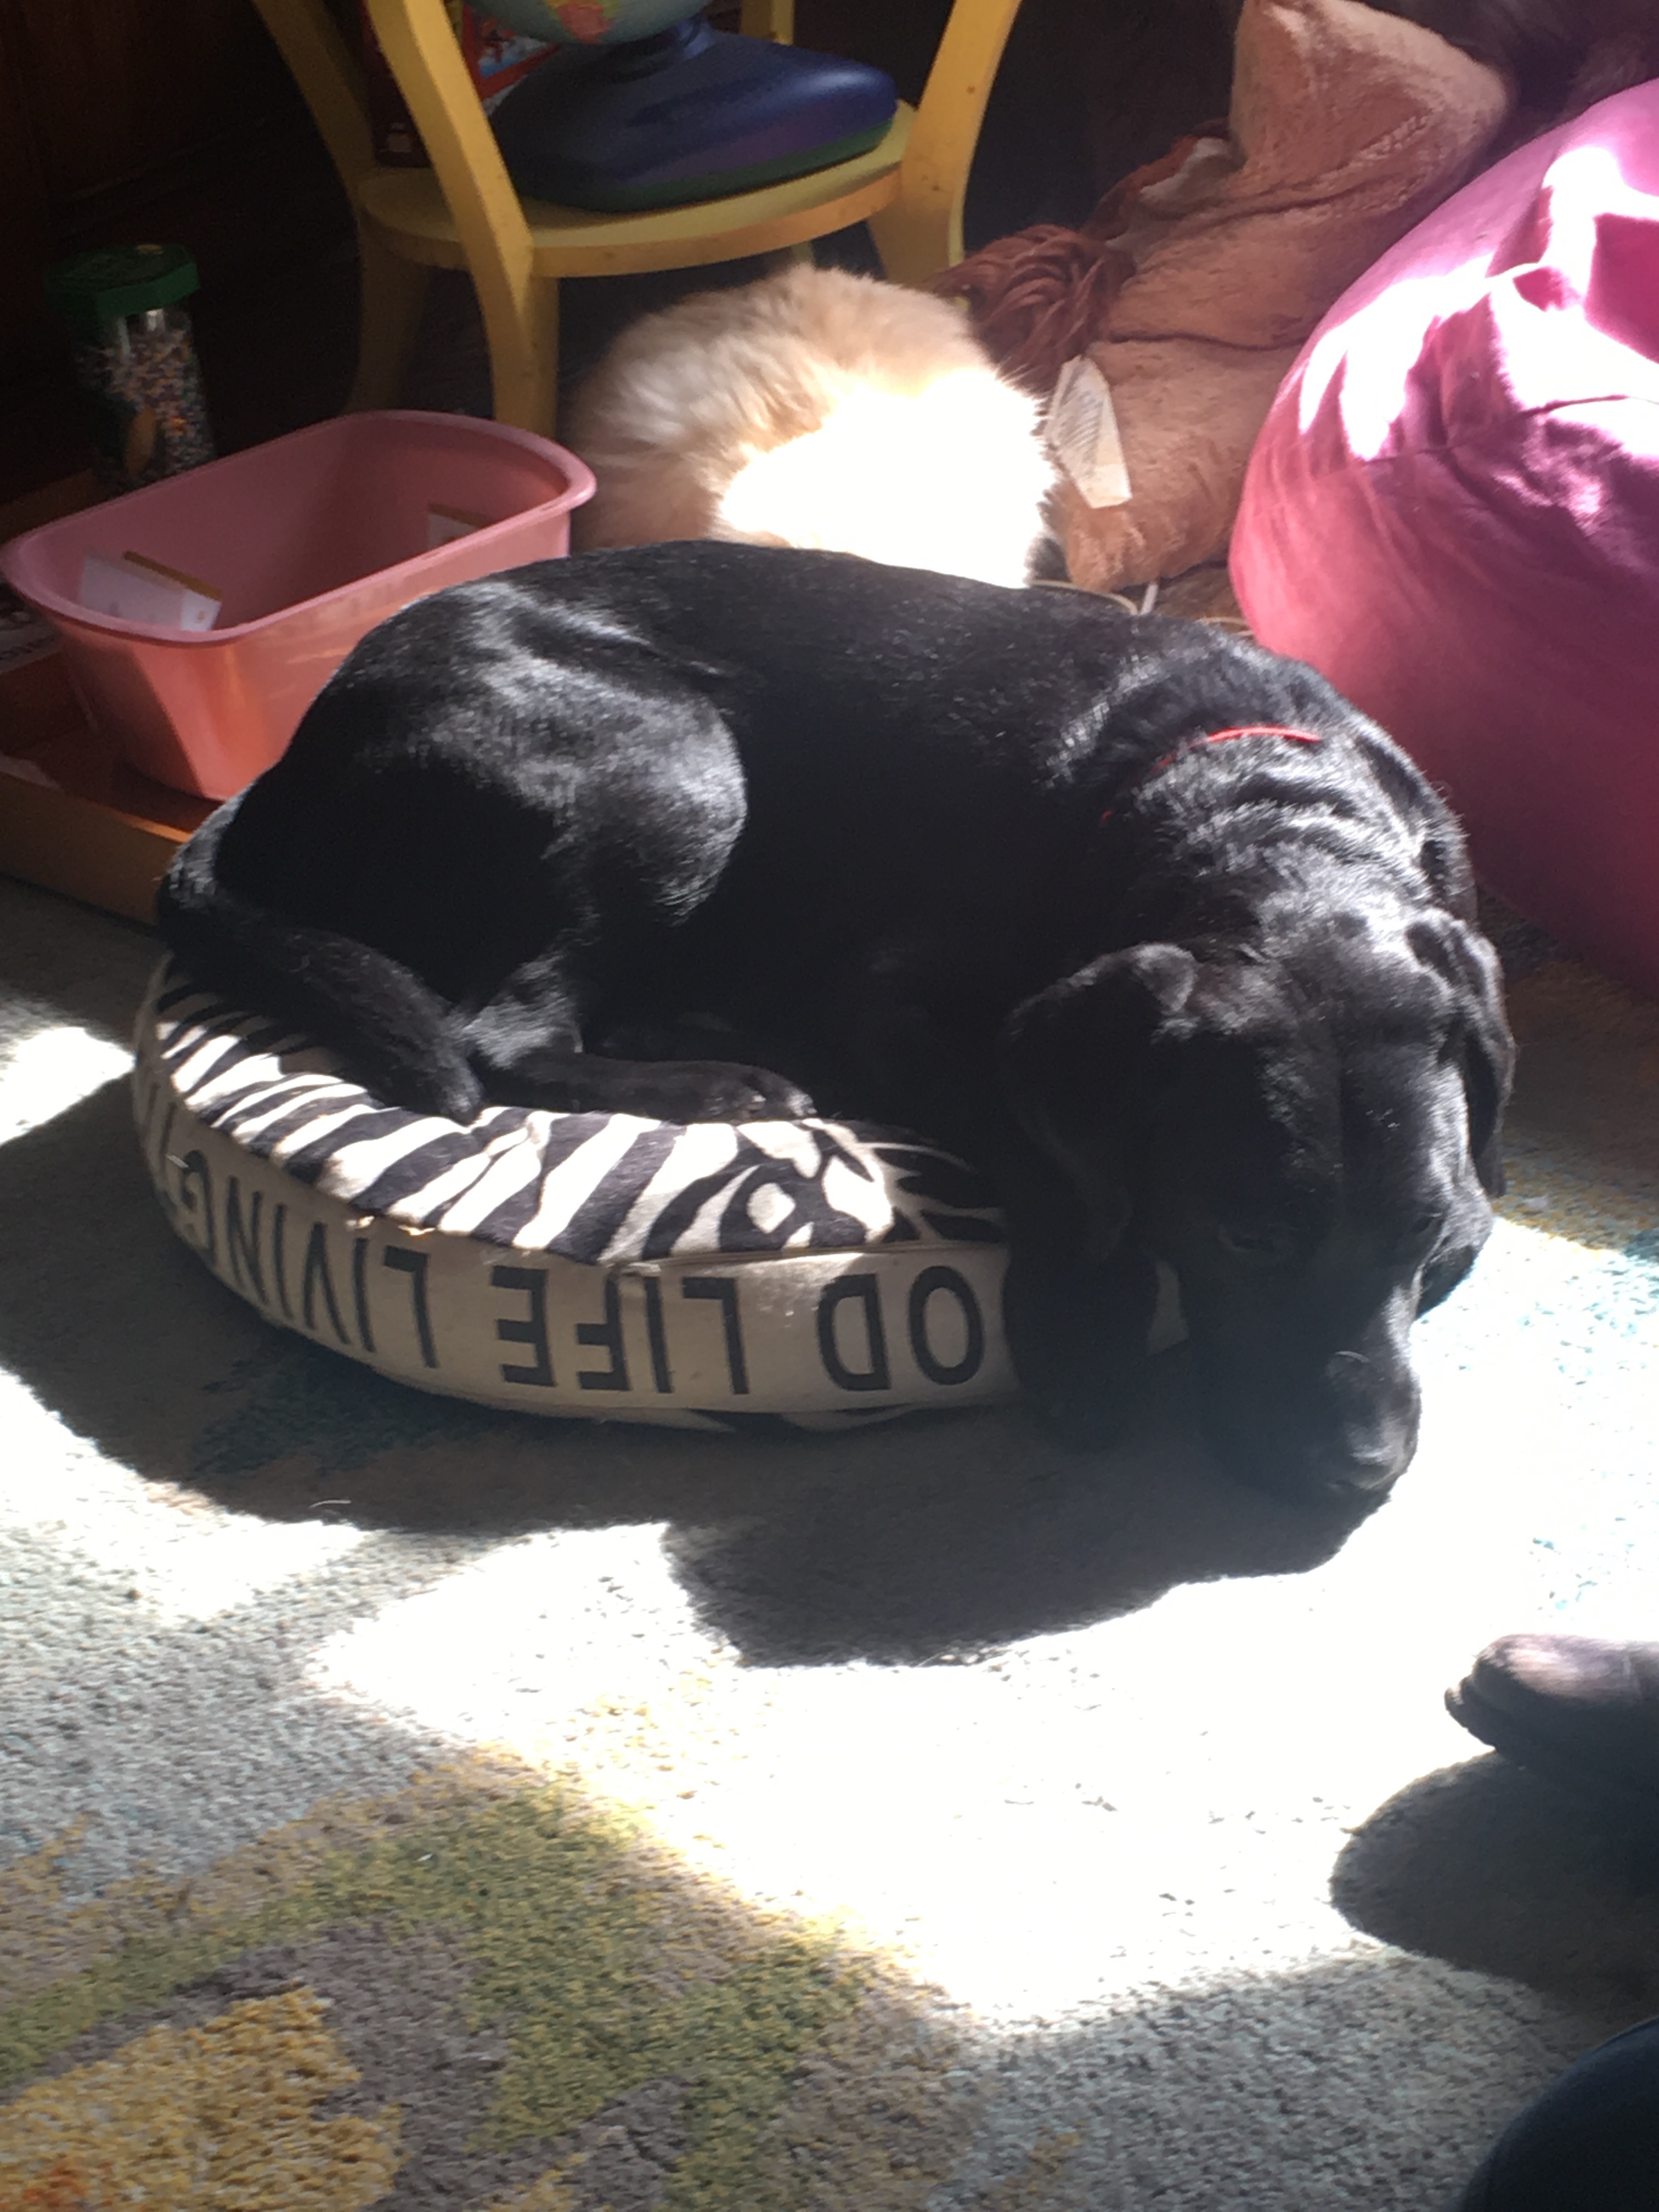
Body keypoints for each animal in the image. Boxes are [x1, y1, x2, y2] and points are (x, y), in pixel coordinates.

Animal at [159, 541, 1522, 1504]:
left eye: (1432, 1234)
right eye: (1246, 1237)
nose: (1362, 1475)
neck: (1256, 800)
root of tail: (289, 768)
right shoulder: (896, 1003)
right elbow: (1043, 1158)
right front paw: (1085, 1324)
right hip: (671, 760)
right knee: (506, 1032)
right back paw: (726, 1081)